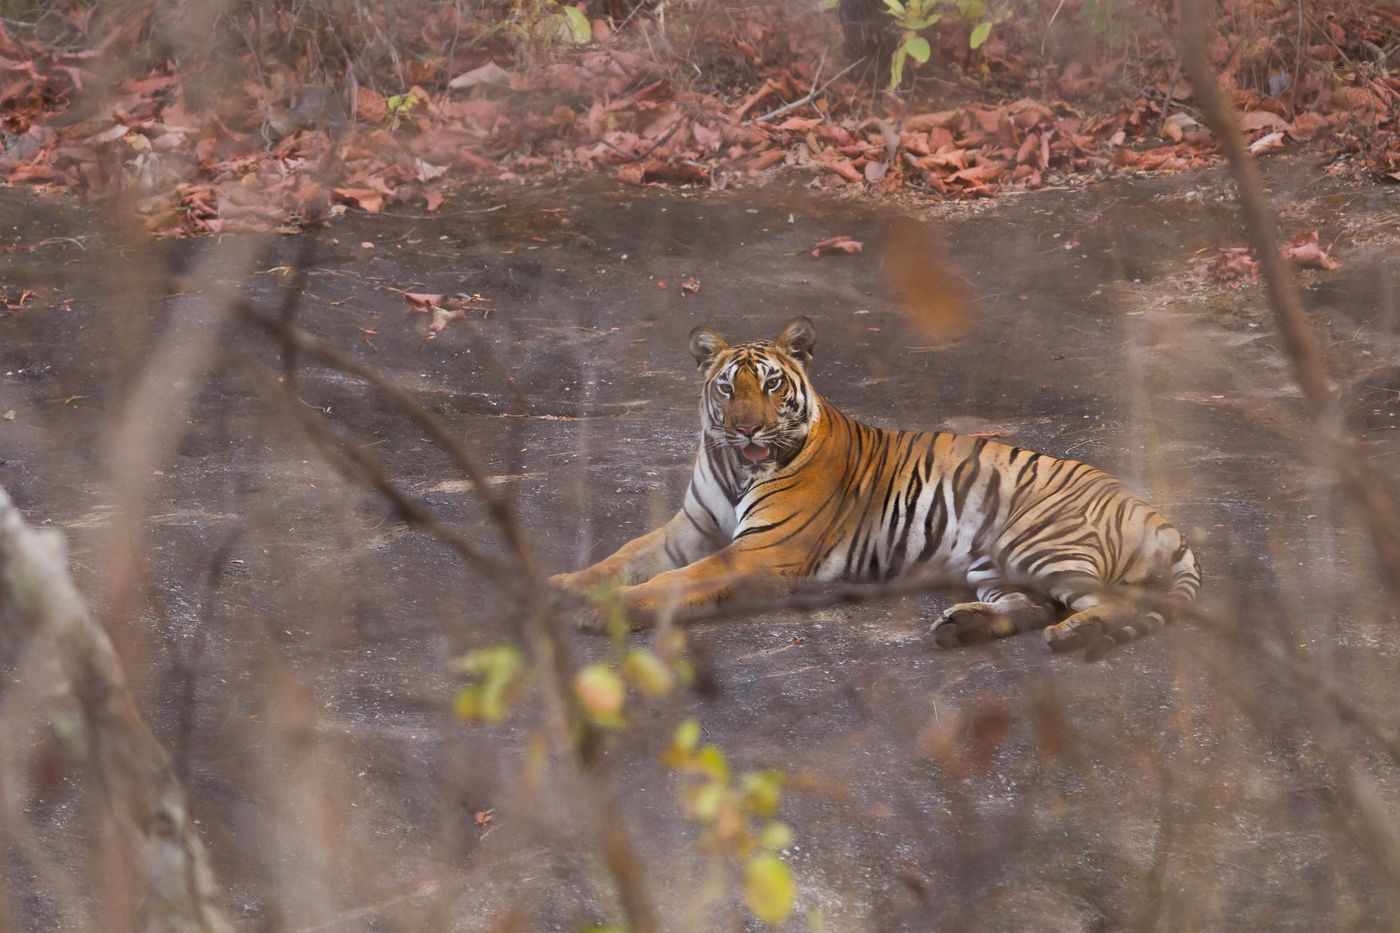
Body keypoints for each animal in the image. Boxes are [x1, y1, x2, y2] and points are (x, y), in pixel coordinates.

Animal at [551, 316, 1198, 658]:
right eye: (728, 388)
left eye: (771, 384)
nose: (747, 428)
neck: (737, 466)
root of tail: (1156, 514)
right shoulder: (689, 528)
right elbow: (624, 558)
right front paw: (563, 587)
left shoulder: (760, 550)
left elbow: (675, 582)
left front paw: (605, 613)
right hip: (996, 563)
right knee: (1032, 606)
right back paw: (963, 626)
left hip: (1036, 542)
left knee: (1102, 605)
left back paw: (1075, 634)